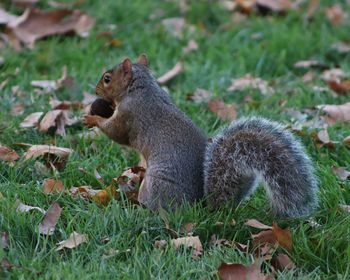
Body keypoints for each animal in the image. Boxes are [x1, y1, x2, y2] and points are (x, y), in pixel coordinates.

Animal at [83, 53, 318, 218]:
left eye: (107, 79)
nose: (95, 91)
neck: (141, 88)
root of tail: (198, 207)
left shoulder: (129, 115)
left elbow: (117, 132)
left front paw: (92, 118)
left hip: (155, 185)